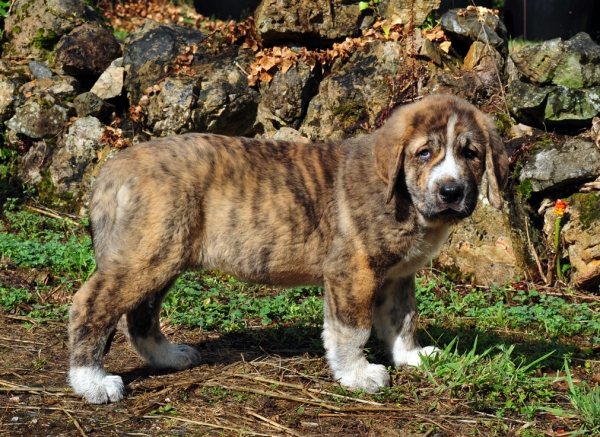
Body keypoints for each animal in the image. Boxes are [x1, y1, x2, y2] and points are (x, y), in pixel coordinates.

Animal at [71, 94, 510, 402]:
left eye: (471, 154)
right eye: (424, 153)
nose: (451, 191)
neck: (402, 195)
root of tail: (115, 166)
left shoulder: (397, 276)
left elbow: (403, 319)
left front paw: (410, 357)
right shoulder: (353, 271)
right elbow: (353, 329)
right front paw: (358, 375)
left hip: (162, 257)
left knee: (139, 315)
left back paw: (167, 357)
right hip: (148, 255)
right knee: (91, 304)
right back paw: (91, 381)